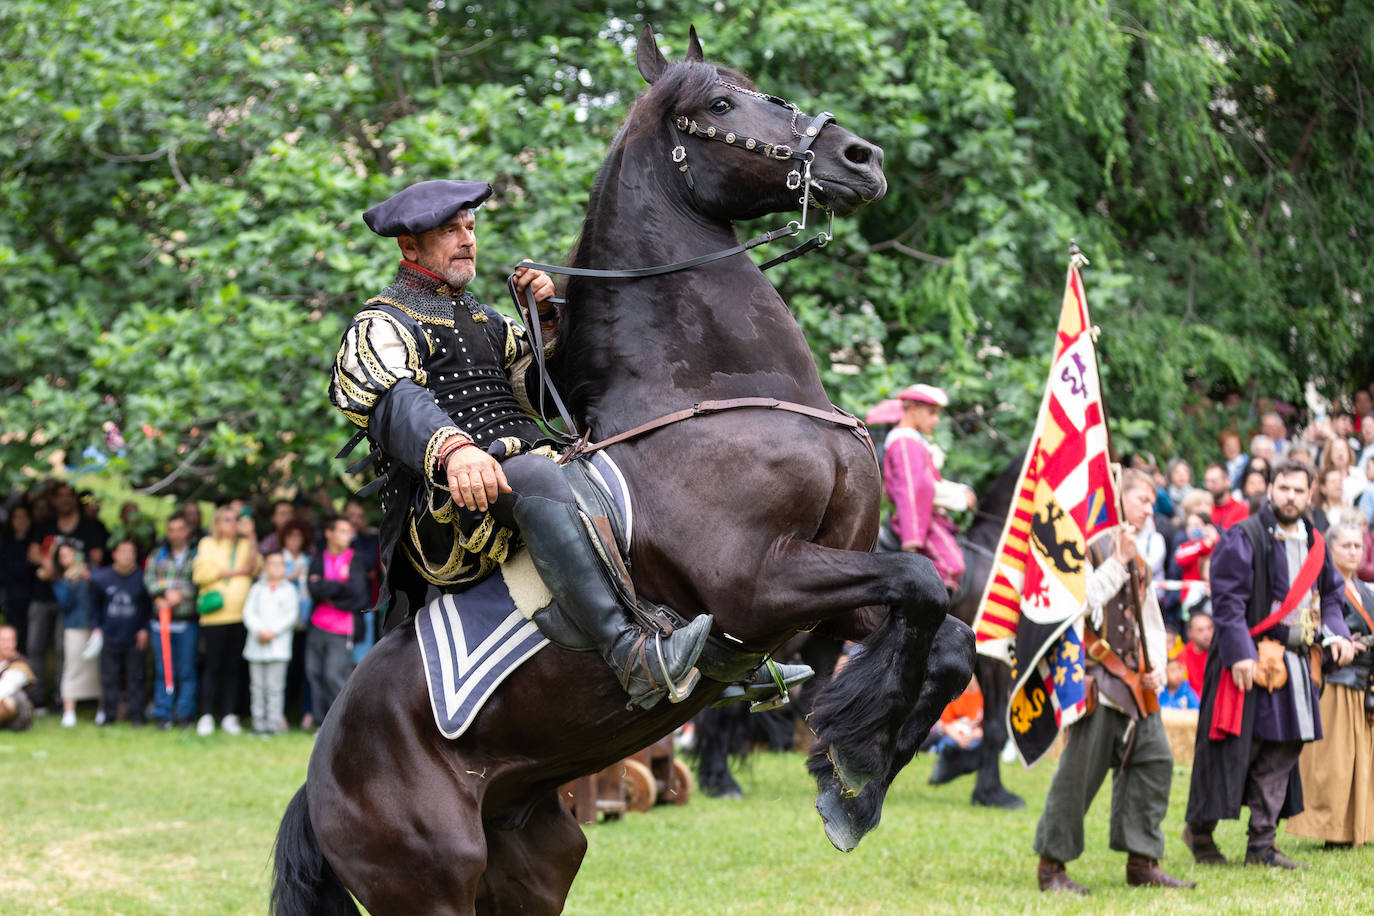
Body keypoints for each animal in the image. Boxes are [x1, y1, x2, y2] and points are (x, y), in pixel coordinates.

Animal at [273, 25, 972, 911]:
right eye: (720, 103)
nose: (861, 156)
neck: (717, 388)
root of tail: (320, 774)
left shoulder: (828, 598)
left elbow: (946, 633)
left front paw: (856, 776)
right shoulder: (758, 585)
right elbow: (922, 583)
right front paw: (851, 764)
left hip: (537, 857)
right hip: (429, 884)